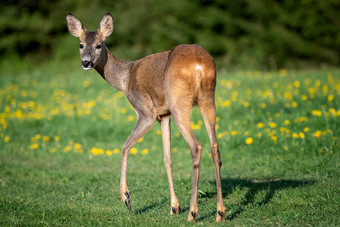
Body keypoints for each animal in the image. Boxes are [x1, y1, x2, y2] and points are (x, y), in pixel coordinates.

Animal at [66, 12, 226, 222]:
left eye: (99, 45)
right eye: (81, 44)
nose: (86, 62)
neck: (125, 79)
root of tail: (199, 66)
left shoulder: (146, 112)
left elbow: (125, 147)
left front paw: (126, 197)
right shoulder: (164, 115)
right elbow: (167, 158)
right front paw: (174, 207)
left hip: (179, 102)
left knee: (196, 146)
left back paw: (193, 213)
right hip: (208, 98)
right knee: (215, 147)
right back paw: (220, 212)